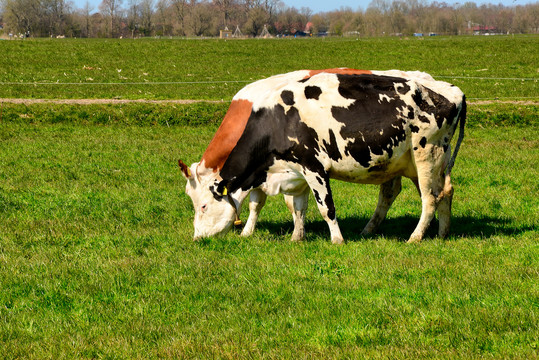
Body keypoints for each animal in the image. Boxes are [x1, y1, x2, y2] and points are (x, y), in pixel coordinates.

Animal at [179, 68, 466, 242]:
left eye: (203, 206)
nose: (197, 238)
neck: (277, 121)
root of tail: (451, 90)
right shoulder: (291, 172)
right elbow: (296, 206)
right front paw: (296, 237)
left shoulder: (313, 167)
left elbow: (325, 207)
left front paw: (337, 239)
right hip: (422, 163)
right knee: (442, 192)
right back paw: (441, 234)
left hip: (426, 155)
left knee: (429, 198)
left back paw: (414, 237)